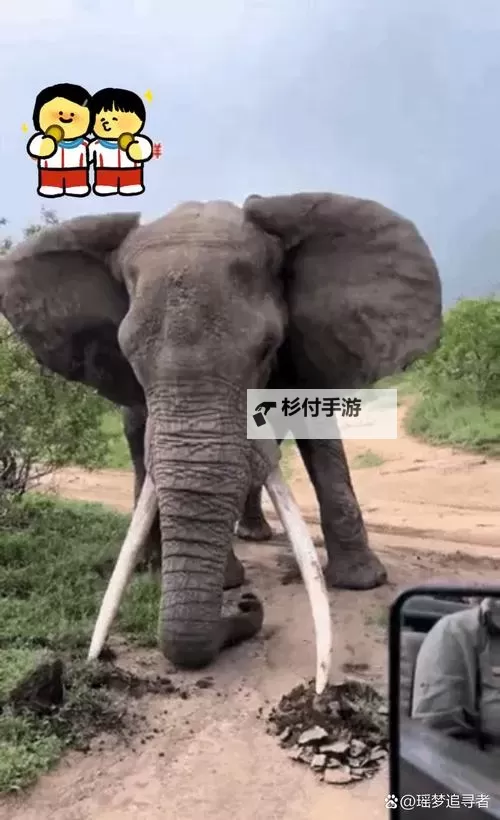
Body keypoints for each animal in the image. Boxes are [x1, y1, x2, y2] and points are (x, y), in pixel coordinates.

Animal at [0, 192, 442, 676]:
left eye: (267, 348)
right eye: (130, 358)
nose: (247, 605)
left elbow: (319, 436)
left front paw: (363, 582)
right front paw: (229, 582)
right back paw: (156, 562)